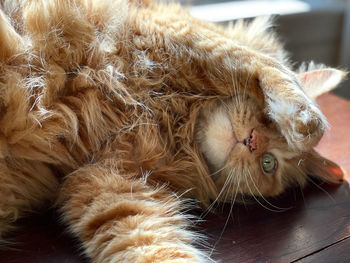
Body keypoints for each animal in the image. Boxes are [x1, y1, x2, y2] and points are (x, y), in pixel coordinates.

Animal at [0, 0, 346, 262]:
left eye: (268, 163)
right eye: (269, 121)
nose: (252, 140)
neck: (171, 120)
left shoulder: (112, 188)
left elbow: (157, 249)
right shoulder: (174, 32)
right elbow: (261, 64)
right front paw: (306, 120)